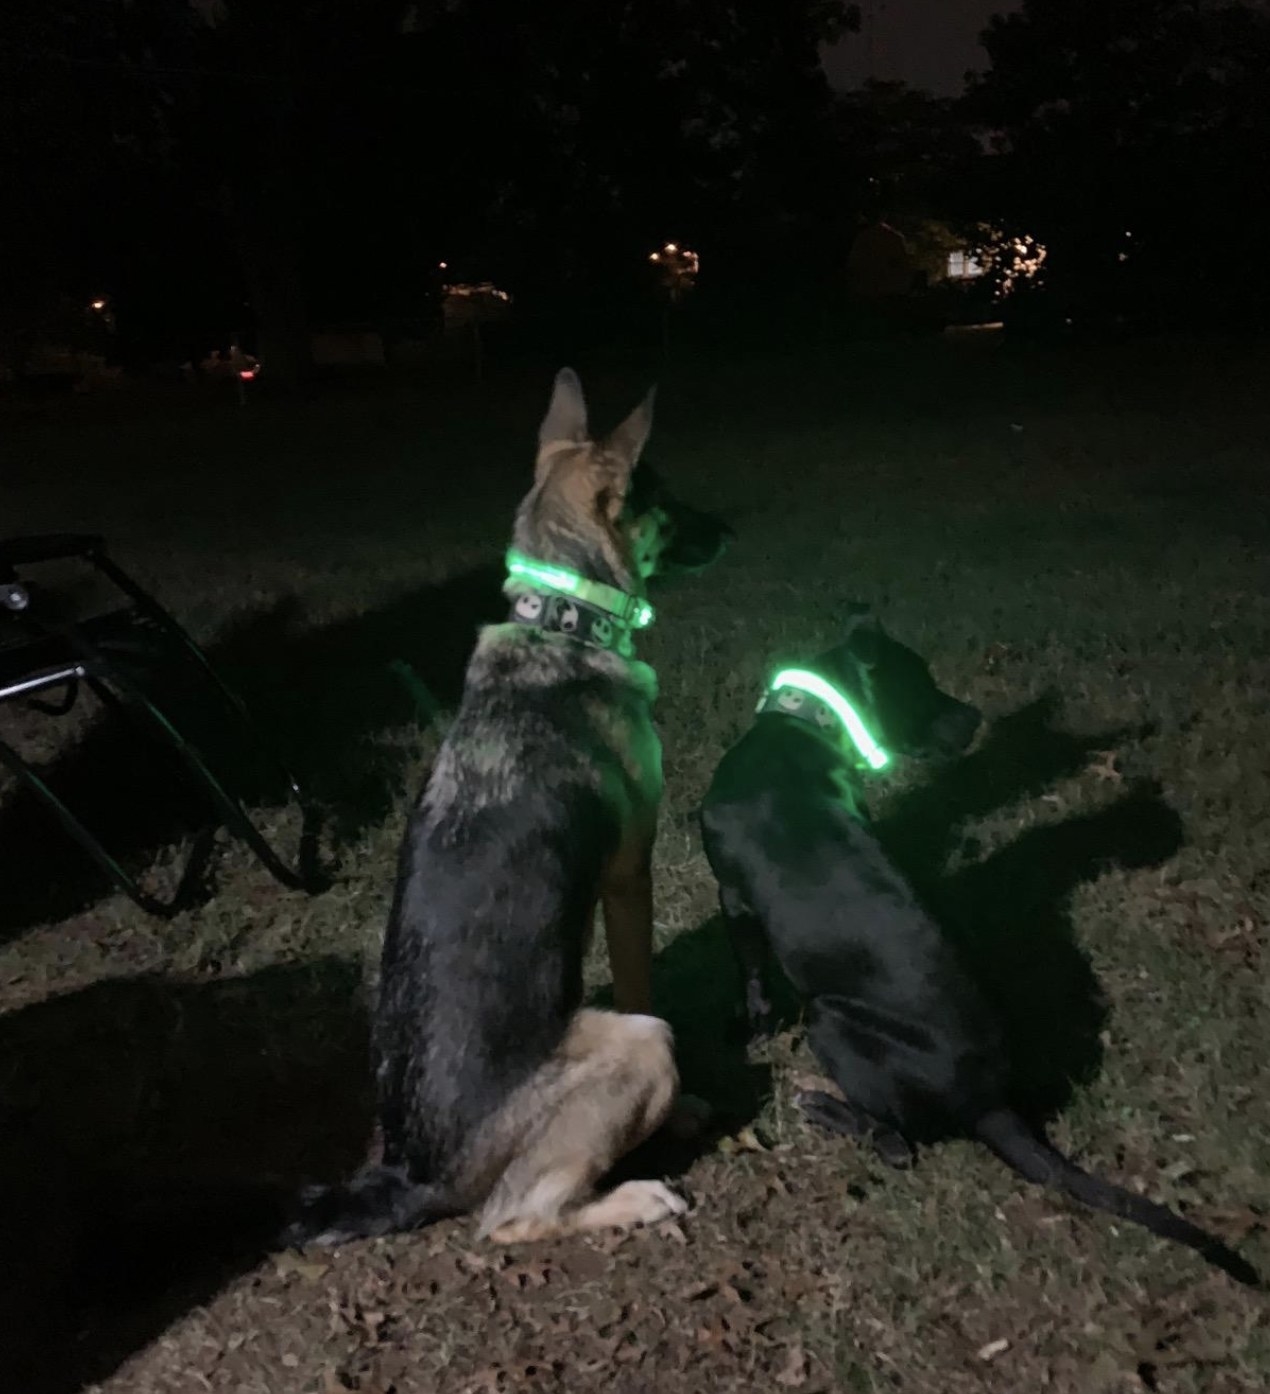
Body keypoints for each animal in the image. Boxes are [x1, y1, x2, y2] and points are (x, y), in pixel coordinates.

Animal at [284, 365, 730, 1249]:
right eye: (663, 500)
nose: (730, 528)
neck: (562, 623)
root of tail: (408, 1174)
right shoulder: (630, 873)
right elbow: (642, 980)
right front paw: (683, 1115)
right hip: (640, 1048)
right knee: (513, 1217)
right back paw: (633, 1198)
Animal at [699, 610, 1265, 1282]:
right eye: (920, 686)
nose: (974, 718)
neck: (800, 725)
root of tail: (990, 1101)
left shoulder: (734, 901)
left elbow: (753, 977)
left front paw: (753, 1025)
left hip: (830, 1020)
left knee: (897, 1144)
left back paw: (829, 1110)